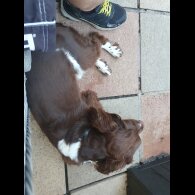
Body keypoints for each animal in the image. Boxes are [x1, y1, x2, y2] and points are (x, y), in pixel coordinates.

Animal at [26, 23, 143, 174]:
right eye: (120, 121)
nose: (141, 123)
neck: (83, 141)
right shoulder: (89, 101)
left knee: (94, 41)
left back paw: (109, 58)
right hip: (81, 58)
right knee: (95, 40)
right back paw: (109, 57)